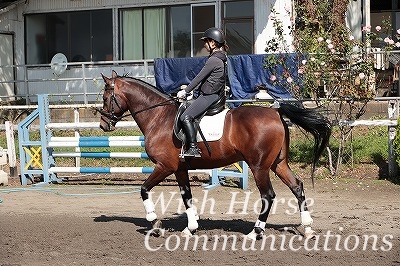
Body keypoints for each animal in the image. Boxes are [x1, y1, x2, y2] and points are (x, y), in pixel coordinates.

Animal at [97, 70, 332, 239]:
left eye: (106, 97)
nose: (103, 125)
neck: (159, 116)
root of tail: (275, 112)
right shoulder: (180, 169)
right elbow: (186, 196)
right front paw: (190, 228)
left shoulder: (165, 166)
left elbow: (144, 189)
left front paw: (154, 222)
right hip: (278, 164)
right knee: (297, 187)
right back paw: (308, 228)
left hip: (259, 166)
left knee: (268, 196)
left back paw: (255, 232)